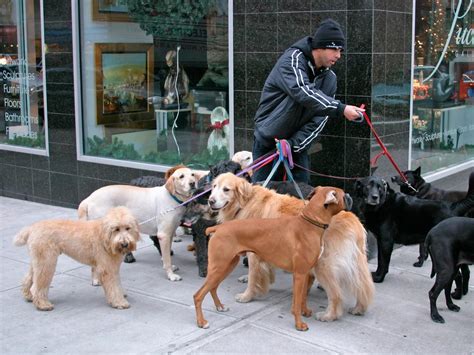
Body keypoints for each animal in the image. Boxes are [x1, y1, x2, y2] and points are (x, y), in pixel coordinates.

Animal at [193, 188, 352, 332]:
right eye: (343, 195)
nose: (350, 195)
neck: (310, 223)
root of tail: (218, 228)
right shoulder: (299, 275)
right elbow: (297, 302)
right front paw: (299, 324)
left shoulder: (306, 274)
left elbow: (303, 298)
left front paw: (305, 311)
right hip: (219, 267)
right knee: (198, 295)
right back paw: (201, 322)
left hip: (226, 266)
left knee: (212, 288)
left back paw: (220, 307)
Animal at [207, 174, 374, 324]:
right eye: (214, 187)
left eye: (226, 189)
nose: (210, 201)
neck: (245, 202)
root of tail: (353, 219)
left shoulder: (255, 254)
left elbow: (254, 275)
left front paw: (247, 296)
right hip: (356, 264)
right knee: (363, 286)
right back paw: (359, 308)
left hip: (323, 265)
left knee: (336, 294)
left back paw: (328, 315)